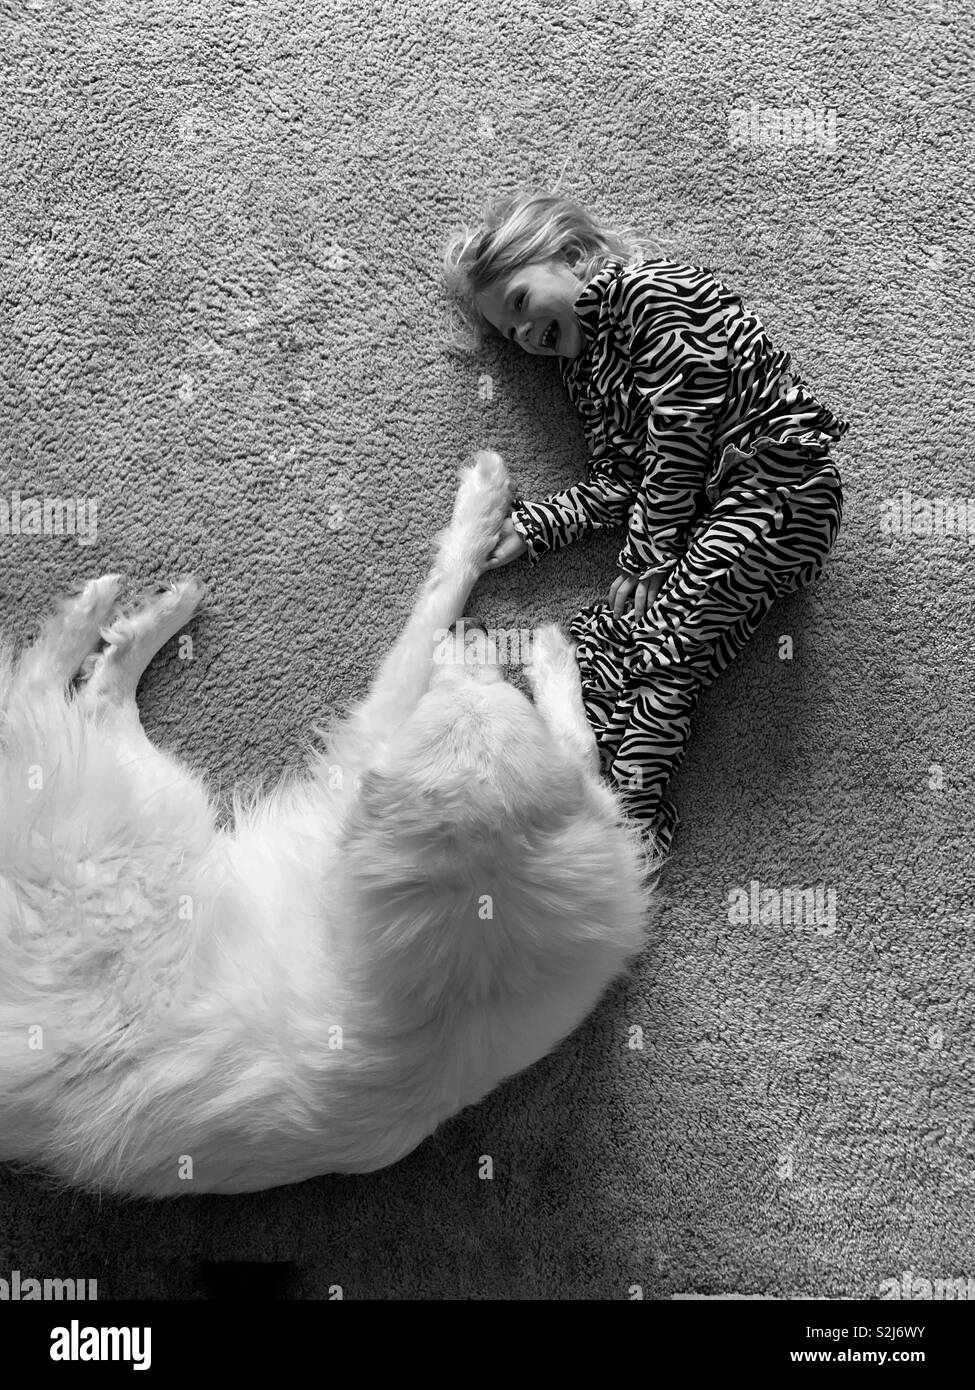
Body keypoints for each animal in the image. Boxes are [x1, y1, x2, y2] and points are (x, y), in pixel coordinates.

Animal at [0, 453, 659, 1195]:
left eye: (476, 688)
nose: (474, 637)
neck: (478, 906)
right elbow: (562, 726)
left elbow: (450, 608)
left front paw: (505, 567)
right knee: (67, 697)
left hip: (149, 800)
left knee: (56, 695)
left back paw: (114, 613)